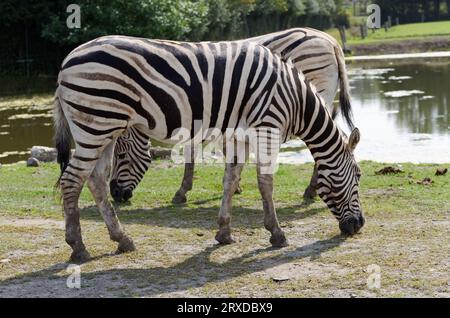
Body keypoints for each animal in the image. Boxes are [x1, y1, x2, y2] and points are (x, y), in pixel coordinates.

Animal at [110, 28, 356, 205]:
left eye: (120, 156)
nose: (115, 194)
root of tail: (331, 41)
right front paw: (235, 186)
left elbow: (191, 152)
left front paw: (182, 192)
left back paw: (311, 189)